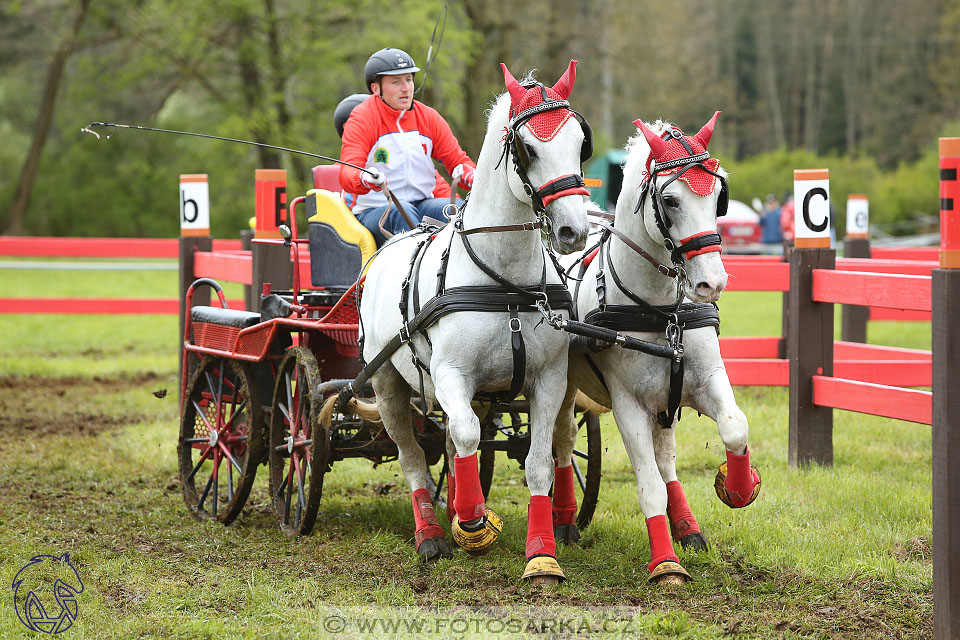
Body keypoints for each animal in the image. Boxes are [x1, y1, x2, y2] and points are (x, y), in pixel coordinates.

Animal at [356, 62, 588, 584]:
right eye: (528, 148)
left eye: (580, 142)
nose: (573, 231)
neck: (505, 283)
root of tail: (392, 240)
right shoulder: (450, 375)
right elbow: (463, 436)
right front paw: (473, 521)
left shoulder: (549, 380)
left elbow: (539, 463)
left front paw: (542, 553)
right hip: (386, 383)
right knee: (414, 457)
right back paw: (431, 534)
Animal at [552, 114, 760, 584]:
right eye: (669, 200)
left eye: (718, 195)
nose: (712, 282)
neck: (662, 311)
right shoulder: (628, 405)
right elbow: (648, 485)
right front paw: (665, 562)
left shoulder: (703, 380)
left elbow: (734, 426)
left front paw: (739, 487)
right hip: (564, 386)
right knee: (562, 440)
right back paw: (565, 520)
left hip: (665, 397)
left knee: (666, 459)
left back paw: (689, 528)